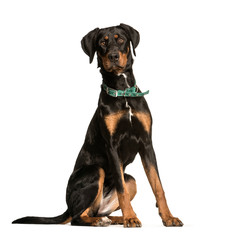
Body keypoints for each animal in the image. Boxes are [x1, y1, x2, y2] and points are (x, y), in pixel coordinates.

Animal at [11, 23, 183, 228]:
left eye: (121, 39)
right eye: (102, 42)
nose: (114, 56)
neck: (122, 92)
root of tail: (68, 206)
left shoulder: (146, 144)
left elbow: (158, 186)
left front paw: (168, 217)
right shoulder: (112, 146)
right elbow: (122, 189)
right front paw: (131, 218)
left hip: (130, 179)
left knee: (99, 208)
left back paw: (113, 218)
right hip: (95, 170)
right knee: (77, 218)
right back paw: (104, 220)